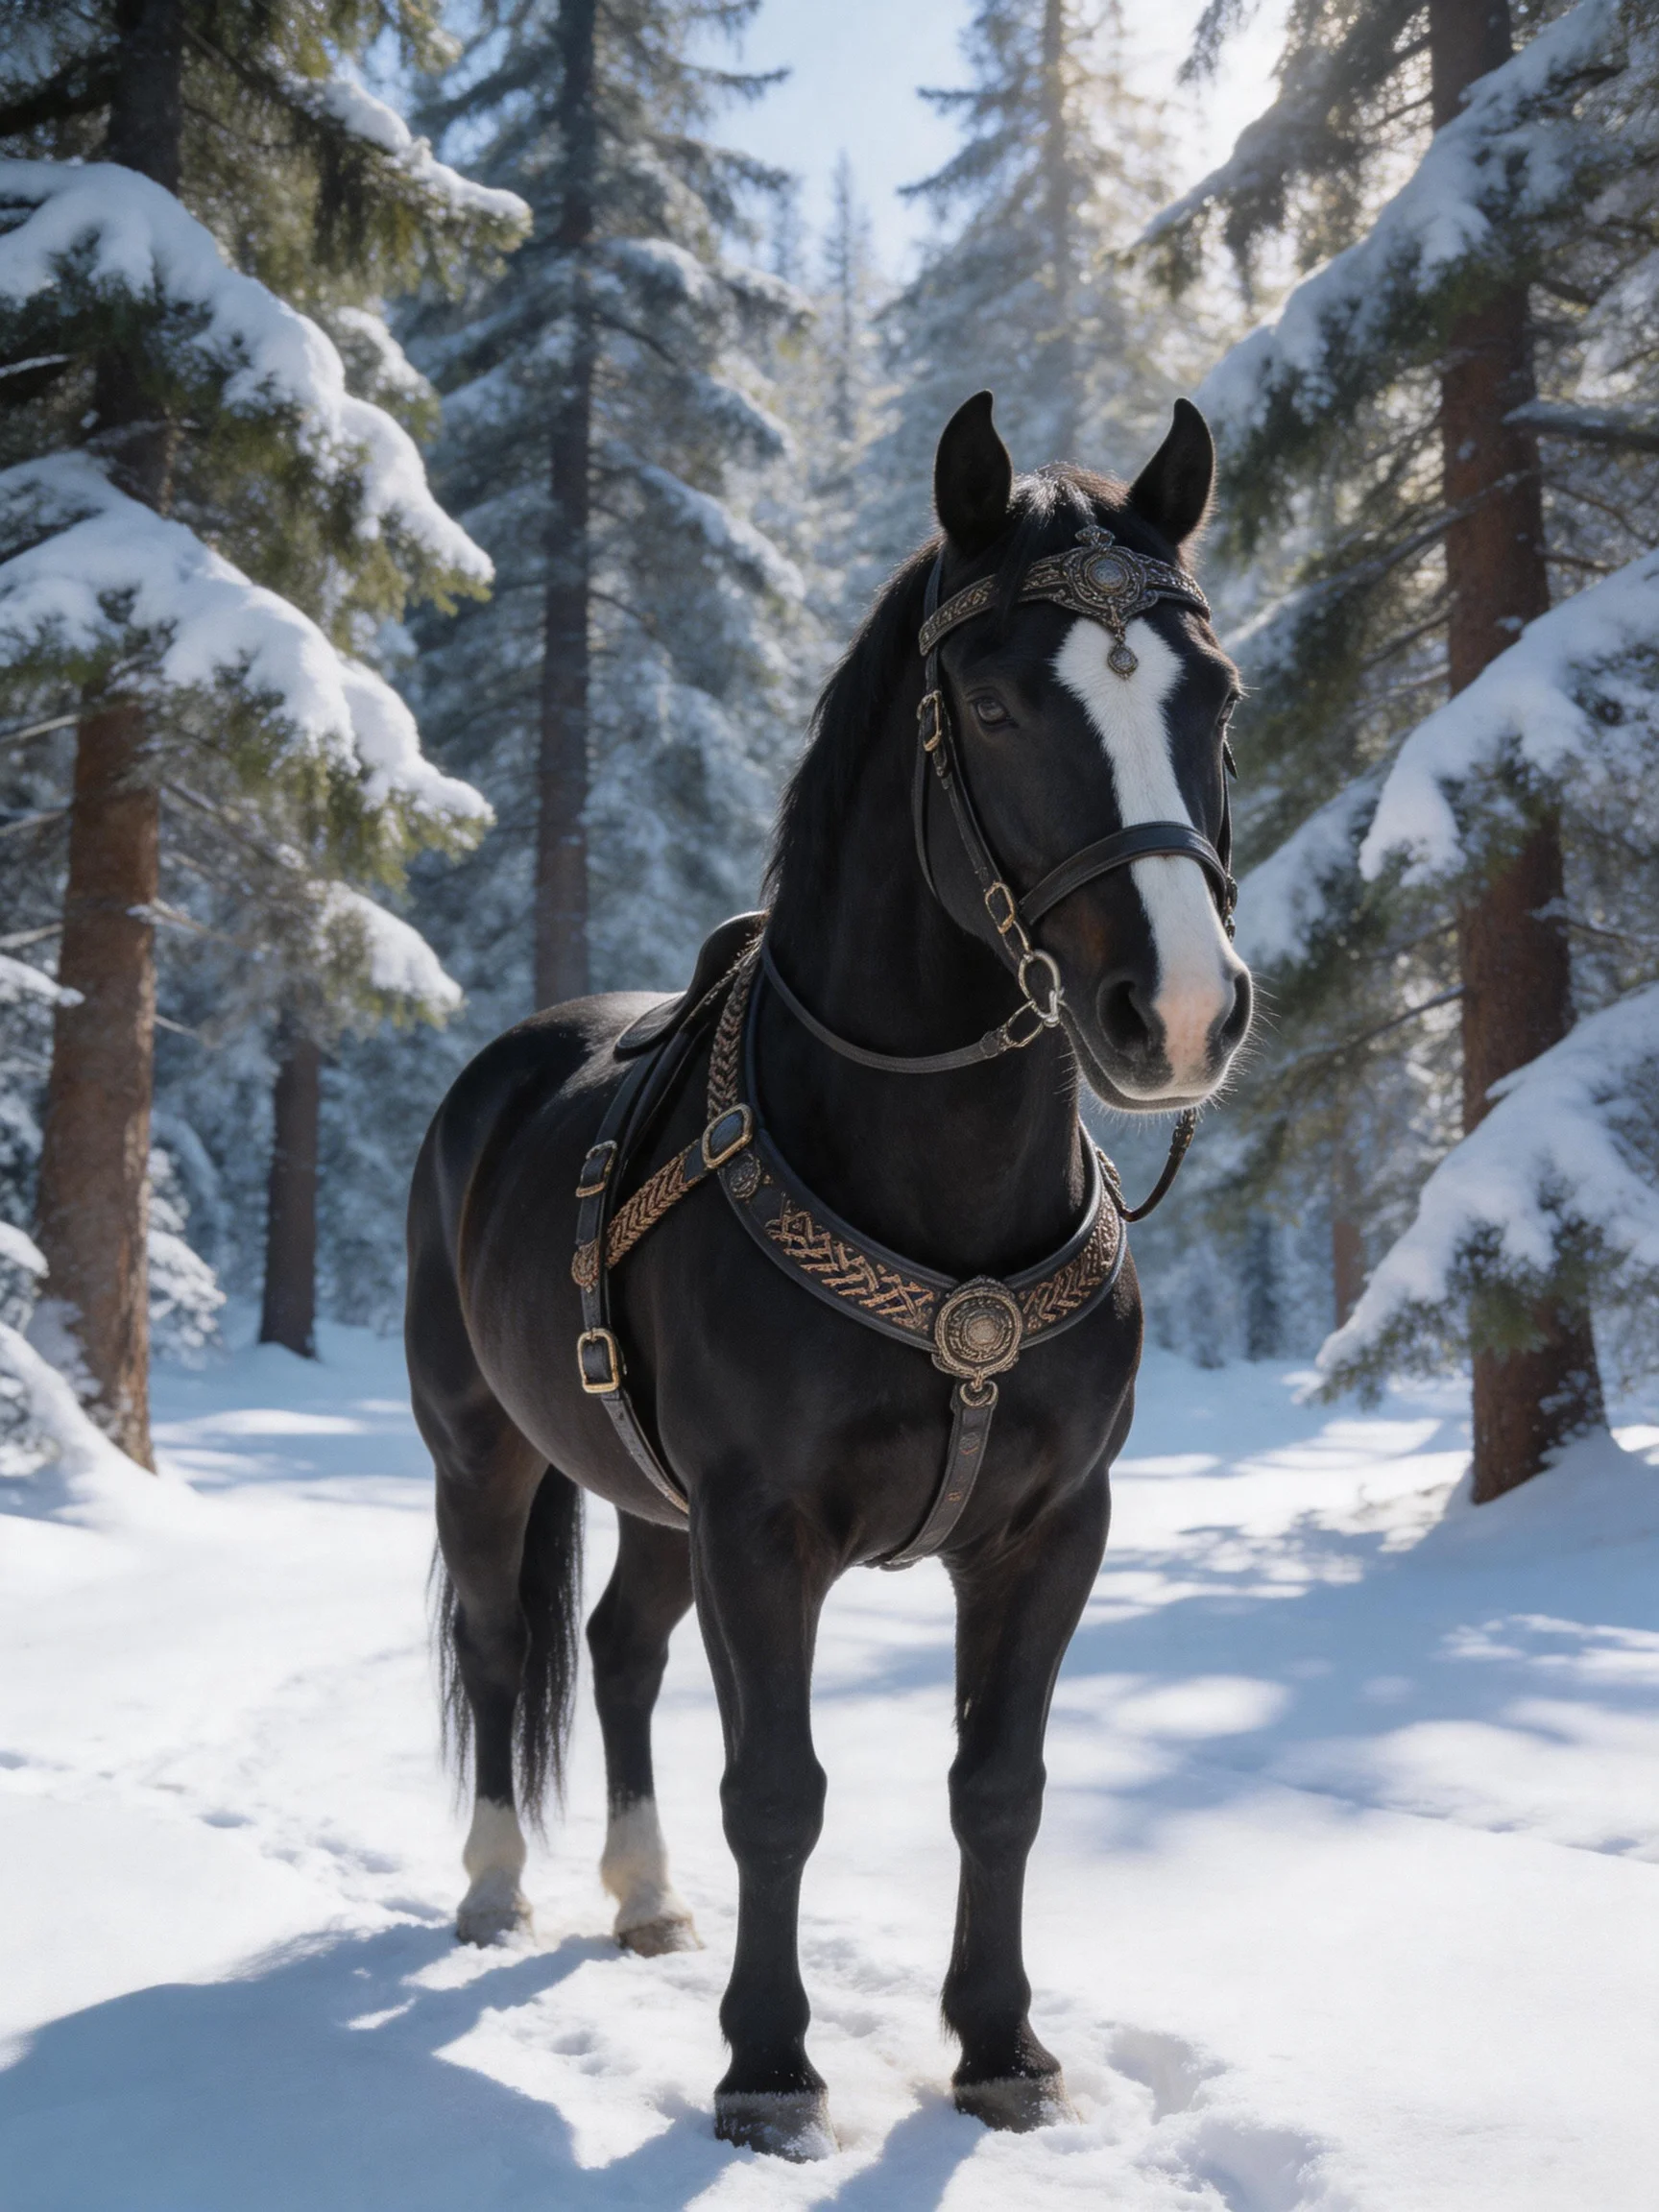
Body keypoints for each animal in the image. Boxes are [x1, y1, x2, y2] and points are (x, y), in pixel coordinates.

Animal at [406, 389, 1251, 2160]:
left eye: (1214, 692)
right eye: (993, 702)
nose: (1181, 1013)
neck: (935, 1186)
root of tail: (496, 1076)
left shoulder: (1048, 1529)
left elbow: (999, 1786)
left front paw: (1001, 2047)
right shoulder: (762, 1527)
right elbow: (778, 1790)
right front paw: (769, 2068)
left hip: (653, 1502)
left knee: (619, 1647)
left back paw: (643, 1897)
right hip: (483, 1450)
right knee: (503, 1647)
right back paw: (496, 1889)